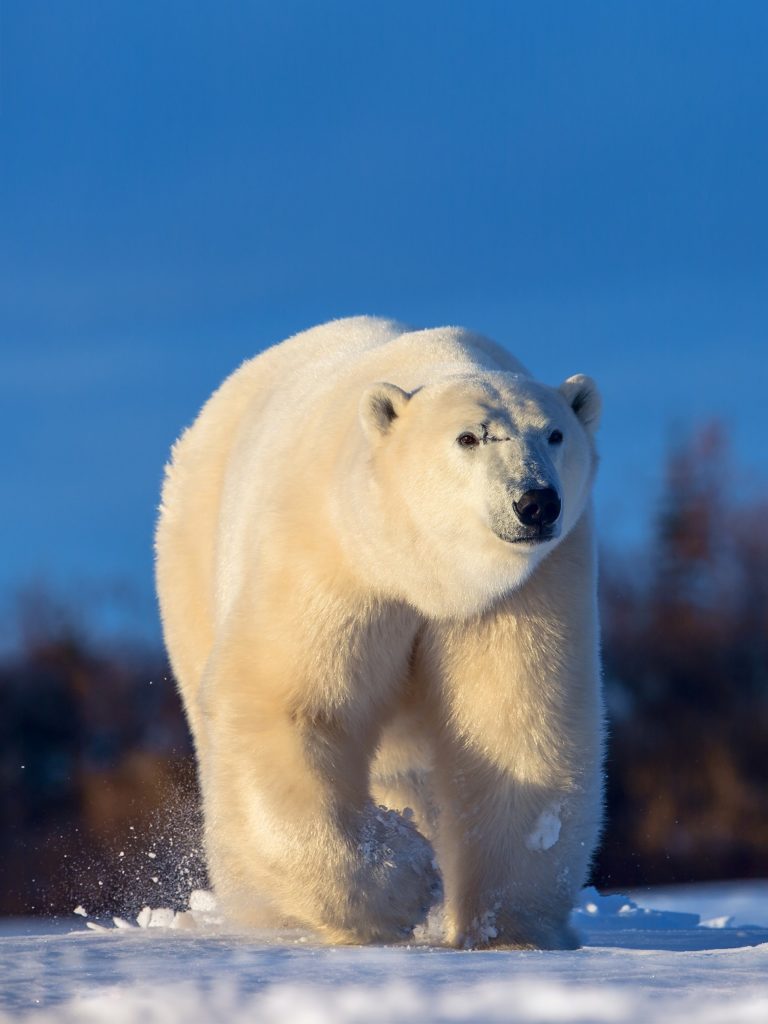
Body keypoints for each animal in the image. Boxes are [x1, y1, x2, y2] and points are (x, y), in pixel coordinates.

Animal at [155, 316, 604, 949]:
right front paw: (403, 881)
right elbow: (291, 704)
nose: (535, 502)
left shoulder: (526, 587)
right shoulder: (332, 554)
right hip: (193, 564)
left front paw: (508, 932)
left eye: (555, 434)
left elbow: (515, 725)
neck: (424, 570)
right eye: (470, 438)